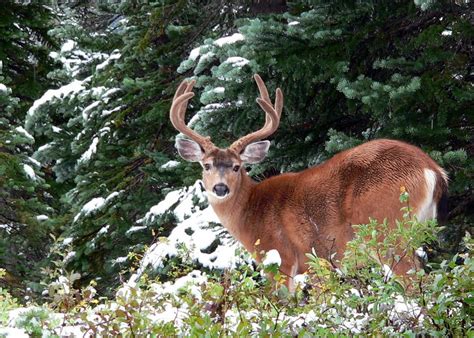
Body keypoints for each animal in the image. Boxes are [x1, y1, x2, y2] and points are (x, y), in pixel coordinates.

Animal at [170, 74, 448, 290]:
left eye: (237, 167)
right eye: (206, 165)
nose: (220, 187)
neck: (252, 213)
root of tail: (432, 169)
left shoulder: (282, 257)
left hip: (386, 227)